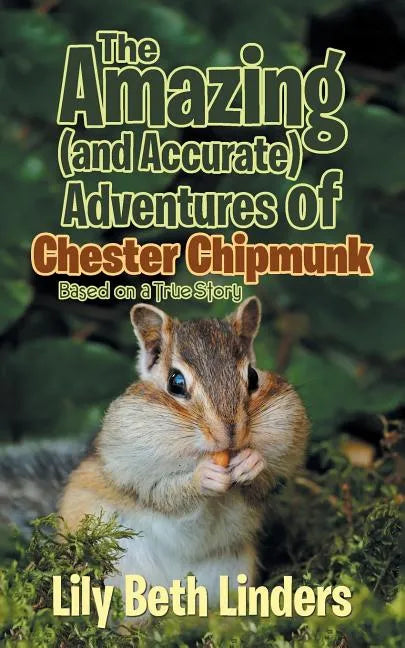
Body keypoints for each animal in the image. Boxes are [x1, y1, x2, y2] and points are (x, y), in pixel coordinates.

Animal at [55, 296, 309, 617]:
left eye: (253, 377)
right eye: (175, 382)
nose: (230, 435)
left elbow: (267, 481)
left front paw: (252, 463)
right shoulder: (133, 472)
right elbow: (164, 494)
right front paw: (203, 477)